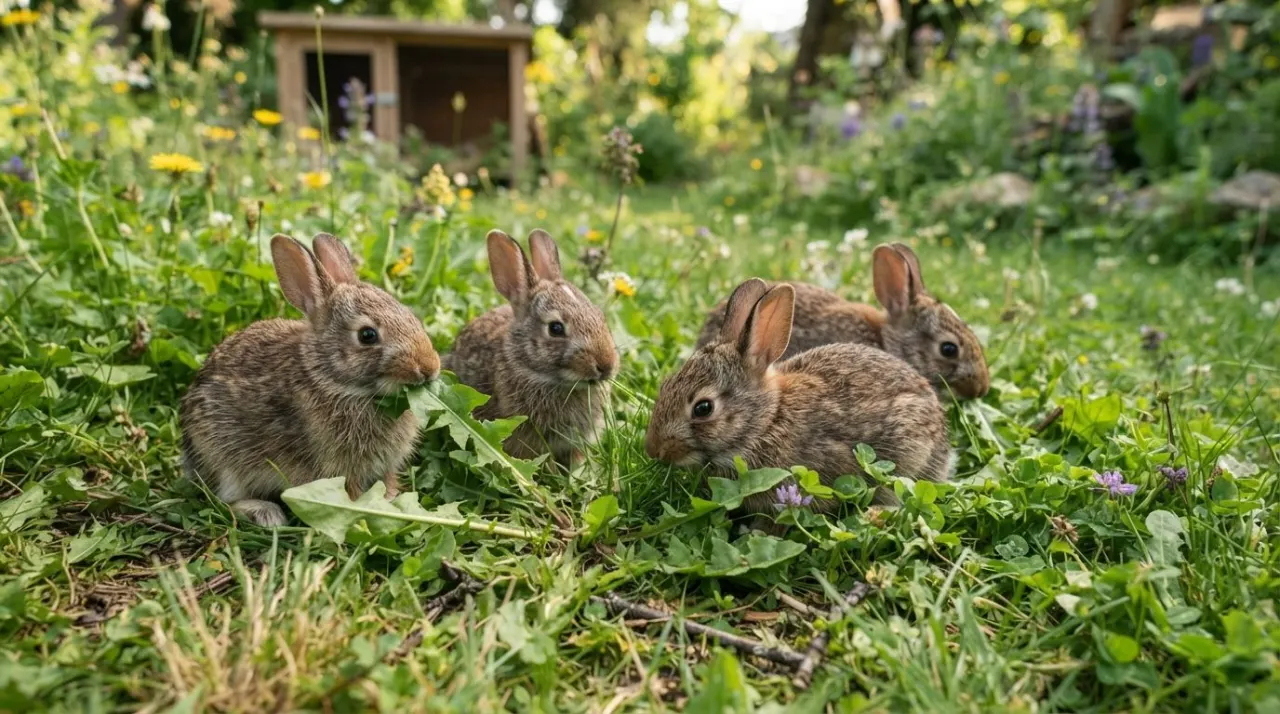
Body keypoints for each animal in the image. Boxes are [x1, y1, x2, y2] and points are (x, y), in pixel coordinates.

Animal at [179, 233, 441, 527]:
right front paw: (362, 512)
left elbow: (387, 481)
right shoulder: (336, 465)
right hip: (224, 459)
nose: (429, 368)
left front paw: (392, 499)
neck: (333, 381)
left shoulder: (385, 465)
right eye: (367, 335)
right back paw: (264, 513)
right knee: (223, 500)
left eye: (410, 315)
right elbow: (349, 492)